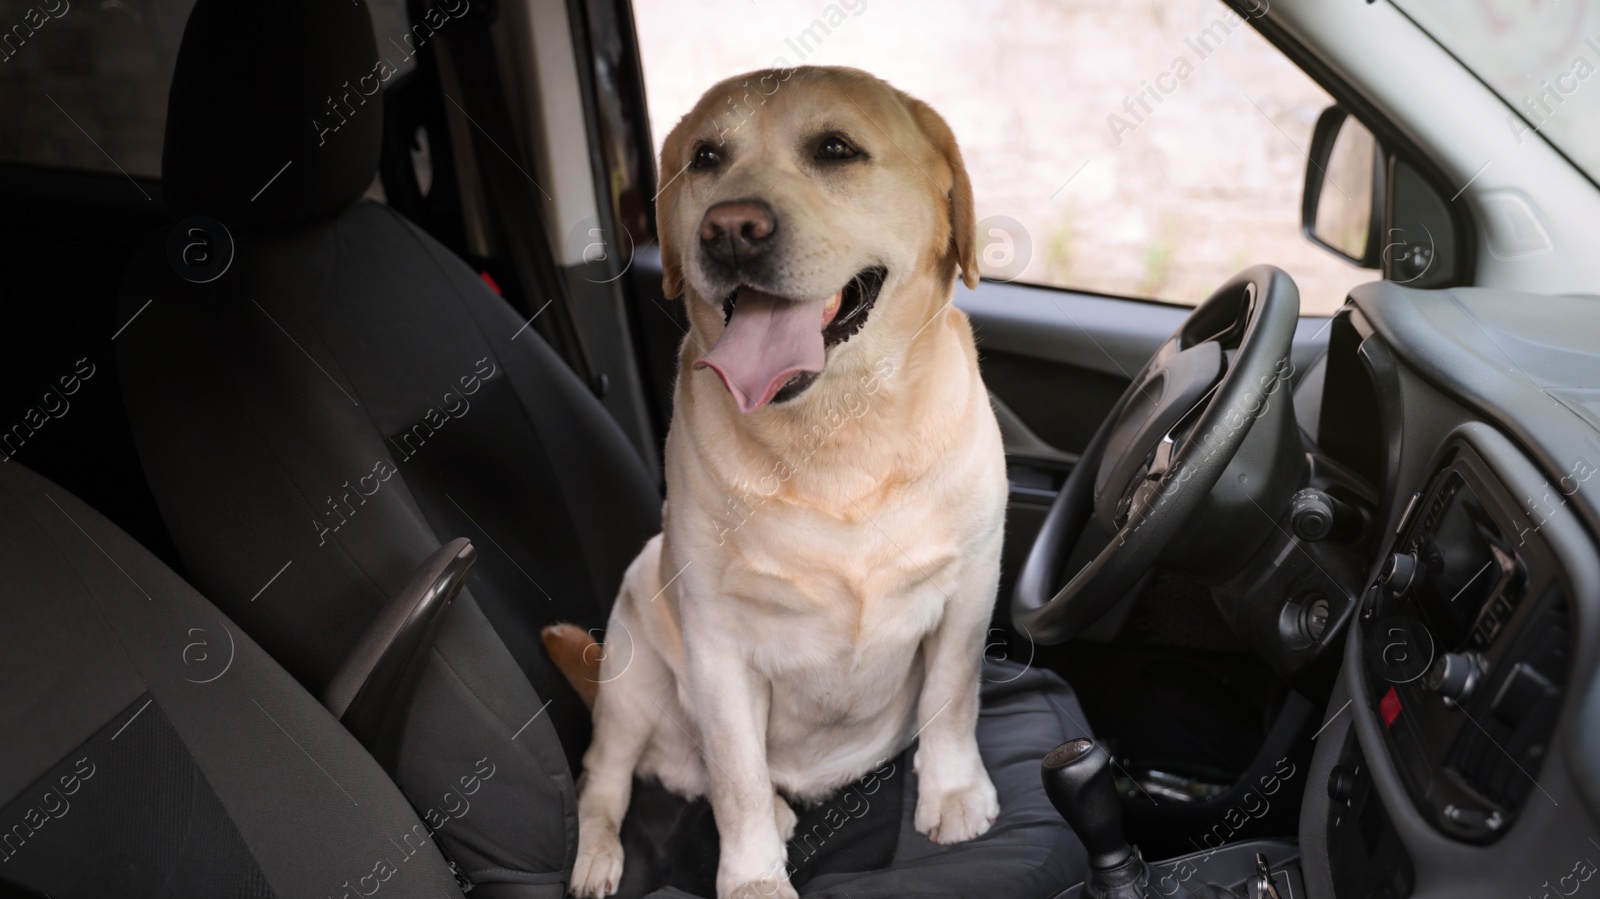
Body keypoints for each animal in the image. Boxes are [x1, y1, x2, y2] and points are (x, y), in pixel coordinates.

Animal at [547, 64, 998, 895]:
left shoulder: (971, 587)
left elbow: (953, 696)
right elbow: (737, 777)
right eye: (705, 157)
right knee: (608, 781)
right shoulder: (718, 643)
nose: (728, 228)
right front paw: (753, 875)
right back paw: (597, 858)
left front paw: (952, 790)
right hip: (631, 679)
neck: (837, 432)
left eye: (836, 148)